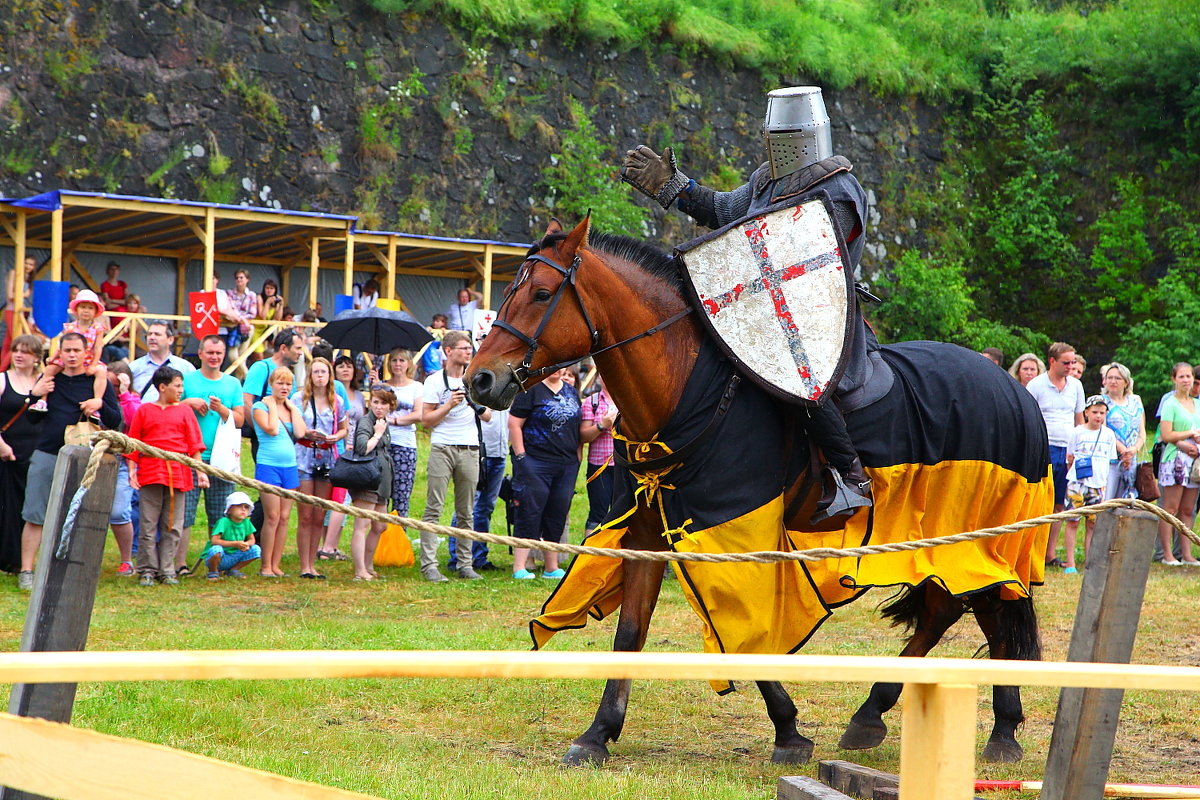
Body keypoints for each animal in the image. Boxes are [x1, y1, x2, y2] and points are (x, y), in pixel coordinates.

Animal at [463, 215, 1046, 767]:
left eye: (542, 294)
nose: (479, 380)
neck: (681, 390)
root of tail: (1013, 388)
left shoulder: (737, 535)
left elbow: (747, 634)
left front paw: (788, 731)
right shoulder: (646, 533)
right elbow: (630, 634)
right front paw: (597, 734)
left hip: (977, 525)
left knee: (991, 607)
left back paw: (998, 731)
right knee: (959, 605)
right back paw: (876, 715)